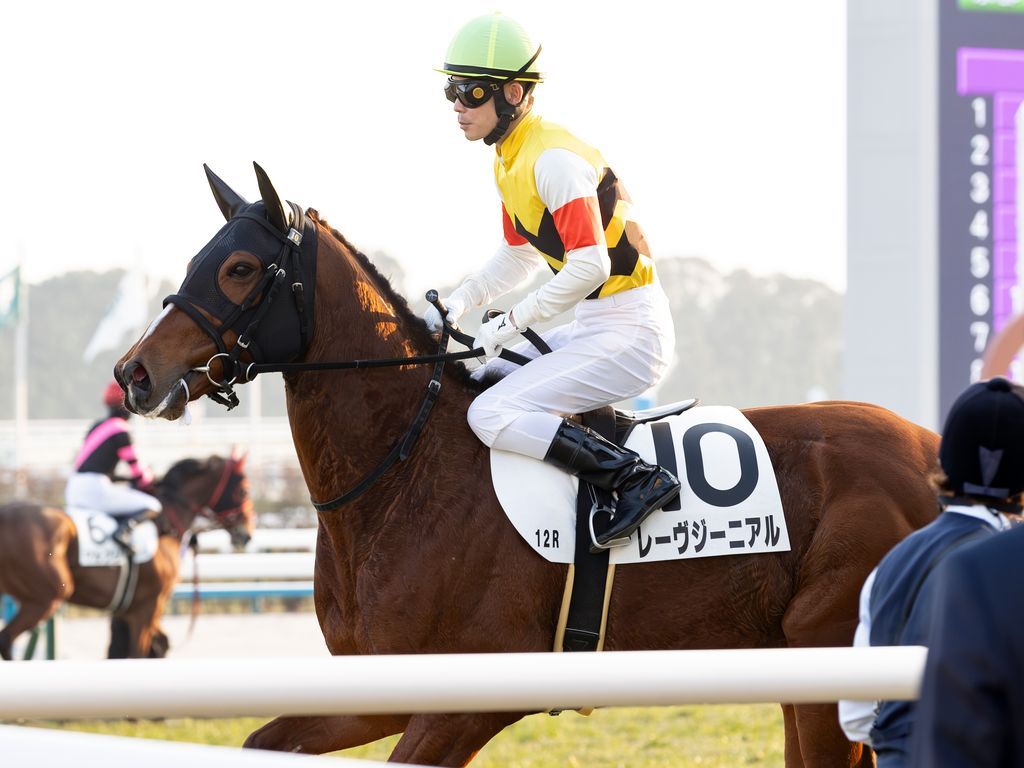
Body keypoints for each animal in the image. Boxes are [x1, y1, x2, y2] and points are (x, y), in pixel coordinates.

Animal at [0, 452, 253, 660]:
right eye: (243, 490)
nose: (247, 534)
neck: (165, 526)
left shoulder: (133, 610)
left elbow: (158, 645)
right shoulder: (147, 607)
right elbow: (138, 653)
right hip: (47, 597)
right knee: (7, 639)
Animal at [114, 163, 940, 767]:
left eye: (239, 268)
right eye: (197, 259)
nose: (135, 373)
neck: (406, 472)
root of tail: (932, 450)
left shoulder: (469, 701)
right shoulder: (376, 687)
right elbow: (263, 740)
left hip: (826, 651)